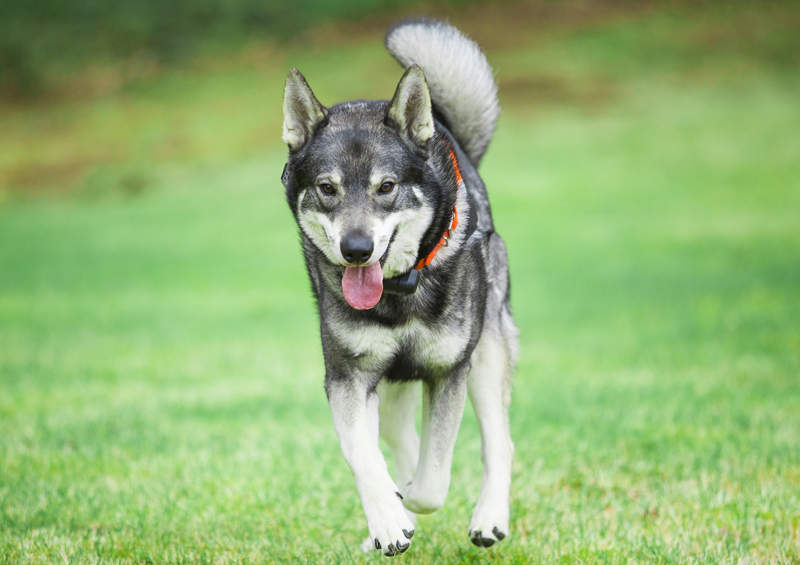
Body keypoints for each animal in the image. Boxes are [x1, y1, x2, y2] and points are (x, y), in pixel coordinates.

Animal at [280, 18, 520, 556]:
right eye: (327, 188)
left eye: (386, 187)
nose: (356, 249)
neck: (397, 293)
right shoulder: (348, 378)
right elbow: (363, 455)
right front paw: (389, 522)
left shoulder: (448, 371)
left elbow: (434, 479)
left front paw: (408, 501)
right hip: (388, 388)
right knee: (395, 436)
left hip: (487, 353)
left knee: (500, 440)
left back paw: (488, 518)